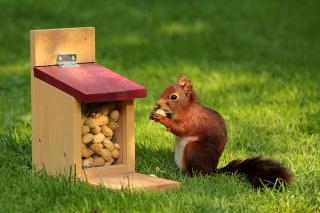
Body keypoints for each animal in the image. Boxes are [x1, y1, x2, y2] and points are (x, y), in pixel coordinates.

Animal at [150, 75, 292, 188]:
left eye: (174, 97)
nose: (157, 103)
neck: (186, 108)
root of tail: (213, 171)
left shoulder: (193, 120)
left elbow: (180, 129)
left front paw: (162, 118)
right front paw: (154, 113)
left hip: (193, 150)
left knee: (198, 173)